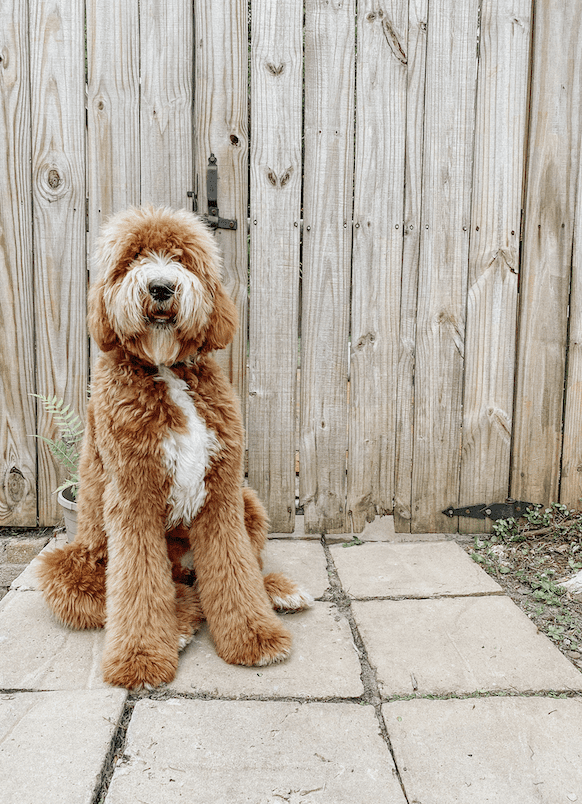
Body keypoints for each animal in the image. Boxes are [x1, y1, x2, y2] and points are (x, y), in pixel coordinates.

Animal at [38, 207, 312, 692]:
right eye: (132, 259)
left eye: (182, 259)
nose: (161, 287)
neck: (165, 367)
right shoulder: (133, 499)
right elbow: (139, 586)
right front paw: (142, 658)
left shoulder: (221, 493)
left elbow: (236, 569)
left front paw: (254, 636)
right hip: (72, 564)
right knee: (160, 591)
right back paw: (180, 624)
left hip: (249, 504)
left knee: (237, 568)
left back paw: (277, 591)